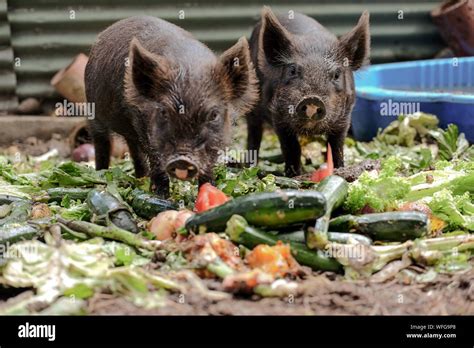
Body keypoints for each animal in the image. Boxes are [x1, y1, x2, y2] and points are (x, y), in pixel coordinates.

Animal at [84, 15, 256, 196]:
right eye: (164, 113)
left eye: (214, 115)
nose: (182, 159)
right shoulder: (143, 124)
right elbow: (155, 157)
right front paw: (161, 195)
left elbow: (209, 164)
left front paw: (209, 189)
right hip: (93, 110)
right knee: (101, 142)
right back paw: (100, 176)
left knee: (133, 148)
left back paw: (141, 179)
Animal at [248, 7, 370, 177]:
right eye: (292, 70)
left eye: (336, 75)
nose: (312, 99)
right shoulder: (277, 116)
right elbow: (291, 147)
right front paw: (294, 175)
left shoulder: (345, 118)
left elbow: (337, 145)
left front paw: (339, 169)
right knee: (253, 134)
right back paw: (249, 166)